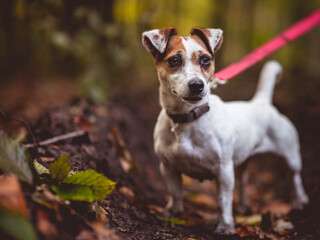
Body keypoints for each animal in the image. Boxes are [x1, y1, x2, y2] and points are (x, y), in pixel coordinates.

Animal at [141, 27, 308, 234]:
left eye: (205, 59)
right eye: (174, 60)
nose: (197, 85)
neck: (189, 117)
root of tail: (262, 102)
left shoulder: (224, 172)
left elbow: (223, 201)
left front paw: (226, 226)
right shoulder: (168, 167)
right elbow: (175, 192)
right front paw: (172, 212)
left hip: (290, 156)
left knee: (295, 177)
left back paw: (299, 200)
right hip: (243, 160)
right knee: (244, 180)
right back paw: (243, 206)